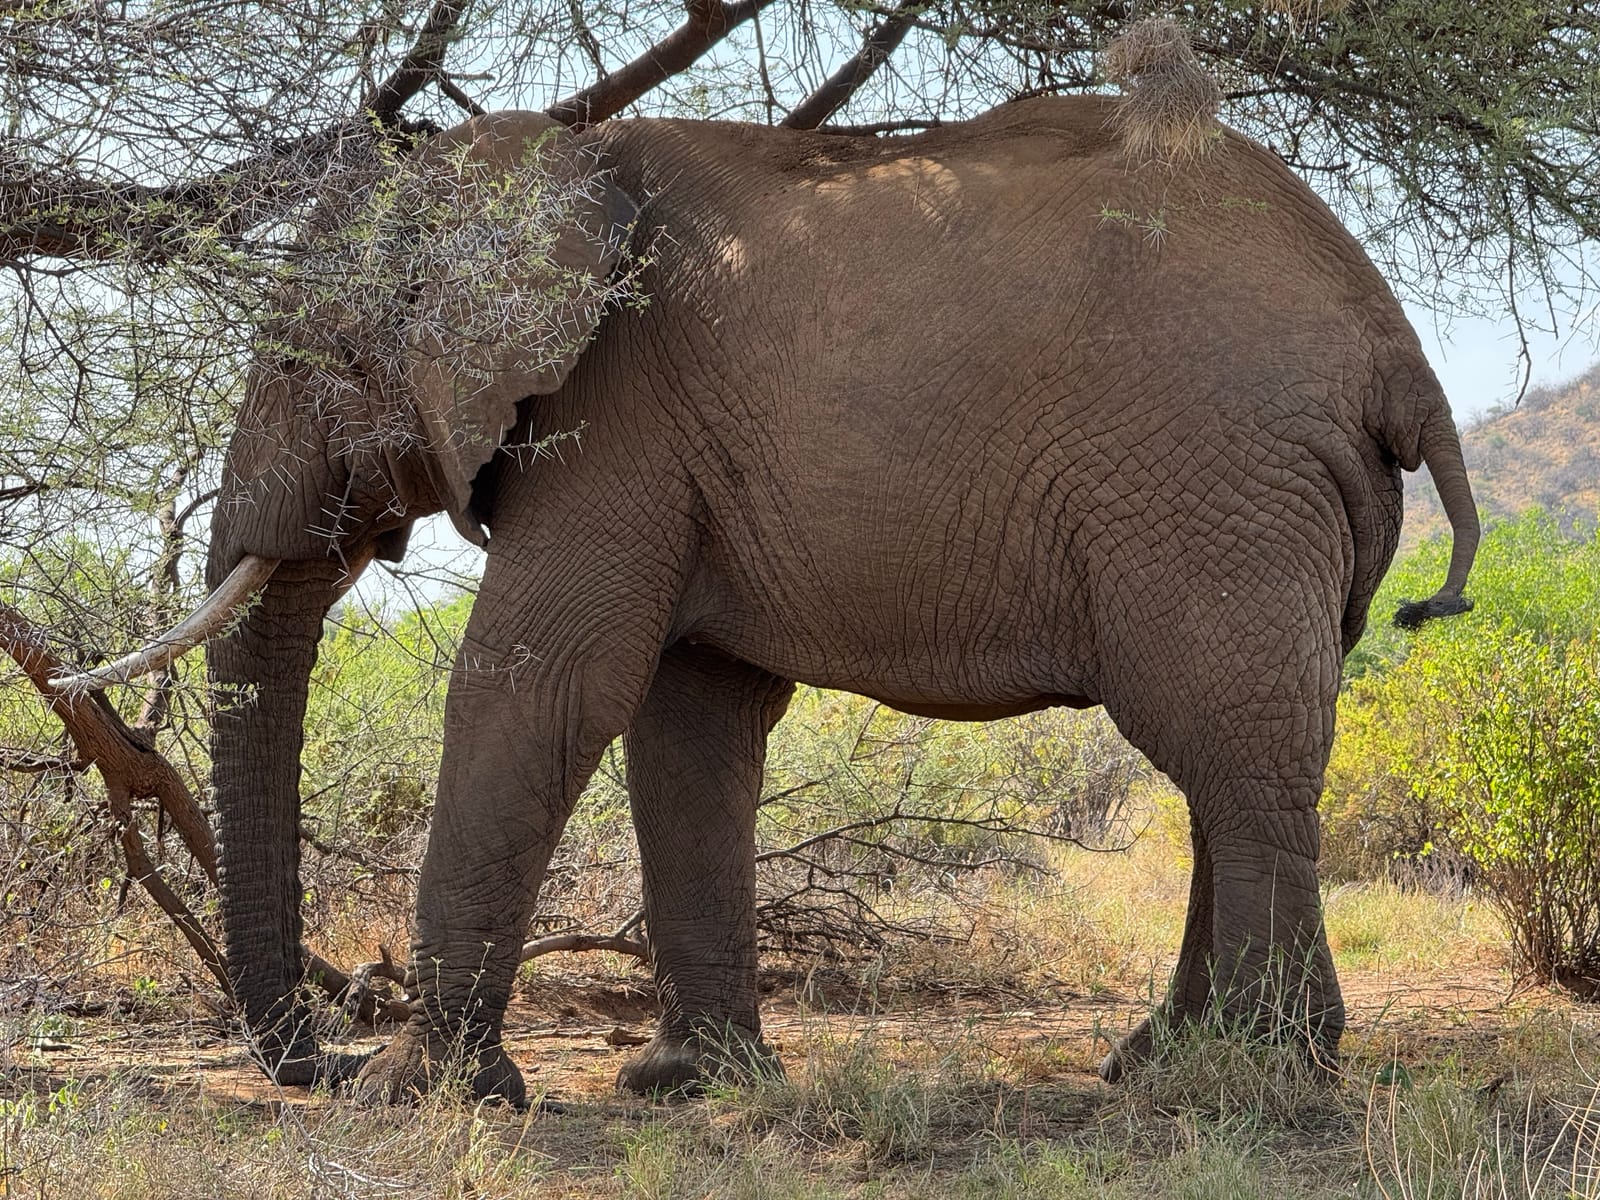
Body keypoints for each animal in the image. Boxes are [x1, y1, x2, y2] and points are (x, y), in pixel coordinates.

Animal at [65, 93, 1478, 1103]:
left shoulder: (615, 420)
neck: (537, 156)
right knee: (1224, 756)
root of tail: (1396, 350)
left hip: (1209, 483)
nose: (323, 1053)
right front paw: (687, 1086)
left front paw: (419, 1097)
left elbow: (539, 687)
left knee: (1228, 753)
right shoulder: (676, 453)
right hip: (1253, 504)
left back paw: (1249, 1084)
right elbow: (689, 723)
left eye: (315, 361)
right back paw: (1169, 1066)